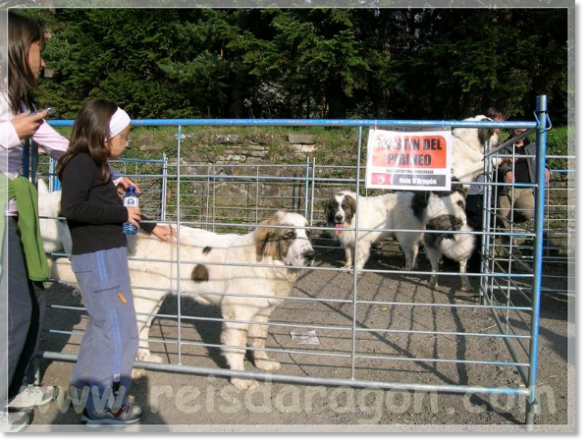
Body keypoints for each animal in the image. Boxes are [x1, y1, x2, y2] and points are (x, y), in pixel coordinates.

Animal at [53, 211, 314, 388]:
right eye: (289, 234)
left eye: (307, 233)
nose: (311, 254)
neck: (266, 262)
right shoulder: (236, 313)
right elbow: (237, 348)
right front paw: (240, 379)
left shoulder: (261, 313)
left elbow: (259, 342)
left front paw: (263, 364)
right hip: (145, 296)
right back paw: (132, 371)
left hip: (152, 297)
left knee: (142, 329)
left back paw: (147, 358)